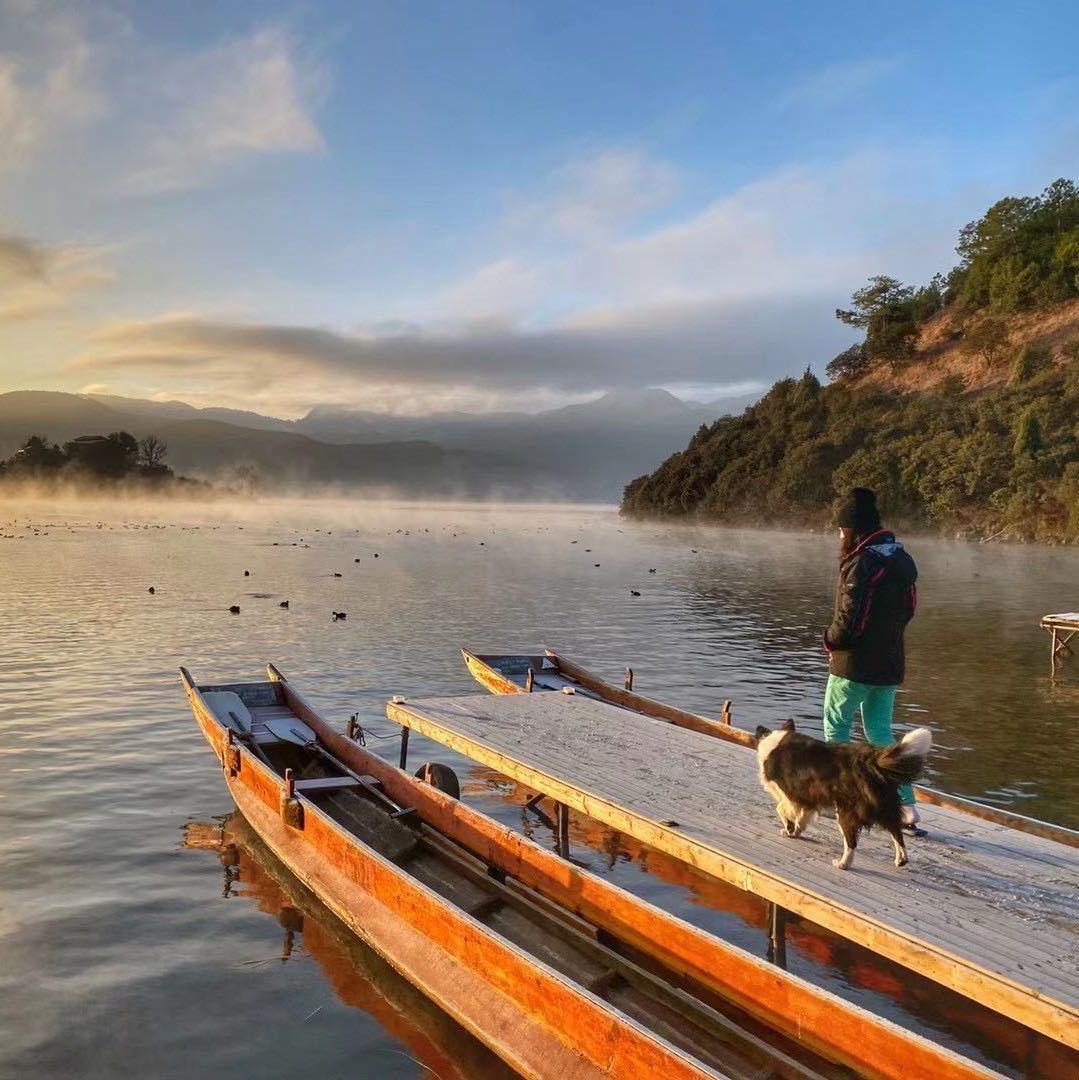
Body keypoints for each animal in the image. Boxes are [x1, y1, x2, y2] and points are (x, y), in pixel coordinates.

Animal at [756, 721, 933, 872]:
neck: (775, 742)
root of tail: (870, 762)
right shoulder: (808, 799)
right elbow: (801, 817)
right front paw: (795, 832)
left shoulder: (792, 794)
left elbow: (781, 808)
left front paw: (789, 828)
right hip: (886, 807)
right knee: (896, 832)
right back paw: (901, 859)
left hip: (846, 811)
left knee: (851, 843)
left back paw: (842, 864)